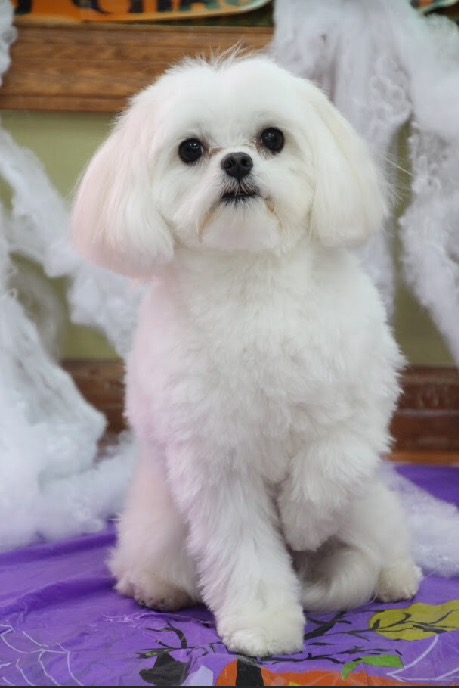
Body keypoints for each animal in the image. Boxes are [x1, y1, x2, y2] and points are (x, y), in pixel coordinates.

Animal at [71, 53, 422, 657]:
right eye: (191, 149)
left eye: (272, 138)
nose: (237, 160)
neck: (253, 281)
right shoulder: (217, 464)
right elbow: (245, 551)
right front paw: (264, 625)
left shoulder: (364, 399)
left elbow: (334, 457)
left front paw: (302, 522)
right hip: (159, 527)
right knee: (147, 564)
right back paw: (156, 589)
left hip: (371, 508)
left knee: (381, 538)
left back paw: (395, 575)